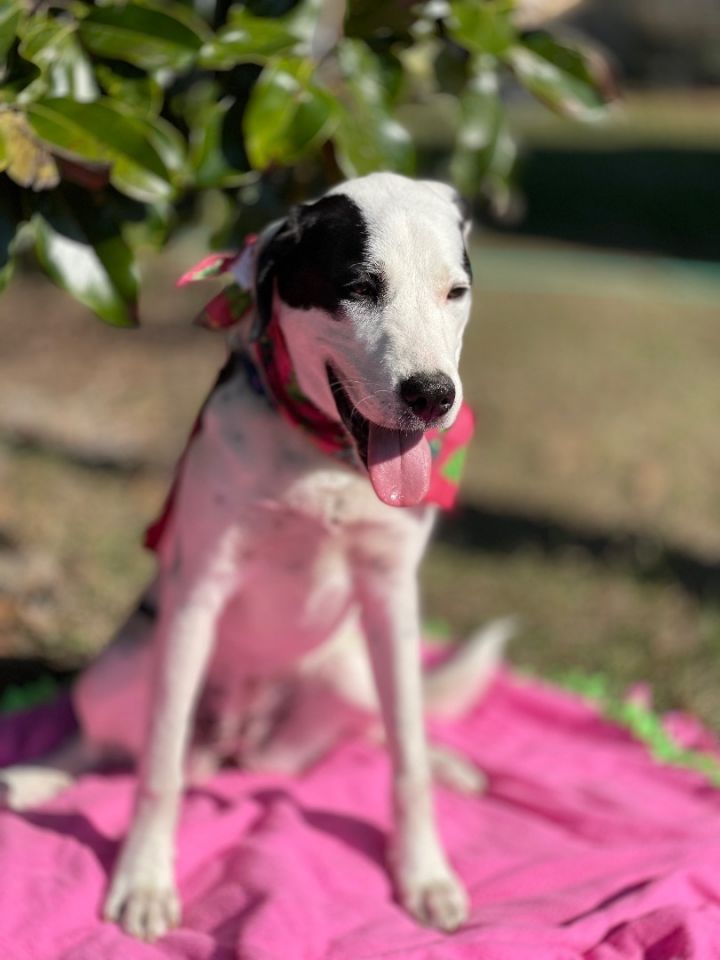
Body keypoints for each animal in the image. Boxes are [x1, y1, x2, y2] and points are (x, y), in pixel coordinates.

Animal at [0, 171, 512, 936]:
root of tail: (242, 739)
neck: (325, 456)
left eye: (455, 291)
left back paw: (451, 762)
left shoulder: (391, 596)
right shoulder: (197, 597)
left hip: (346, 674)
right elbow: (157, 772)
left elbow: (408, 757)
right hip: (128, 666)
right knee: (110, 746)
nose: (432, 396)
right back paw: (39, 777)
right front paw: (144, 880)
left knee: (381, 728)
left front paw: (423, 871)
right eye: (359, 286)